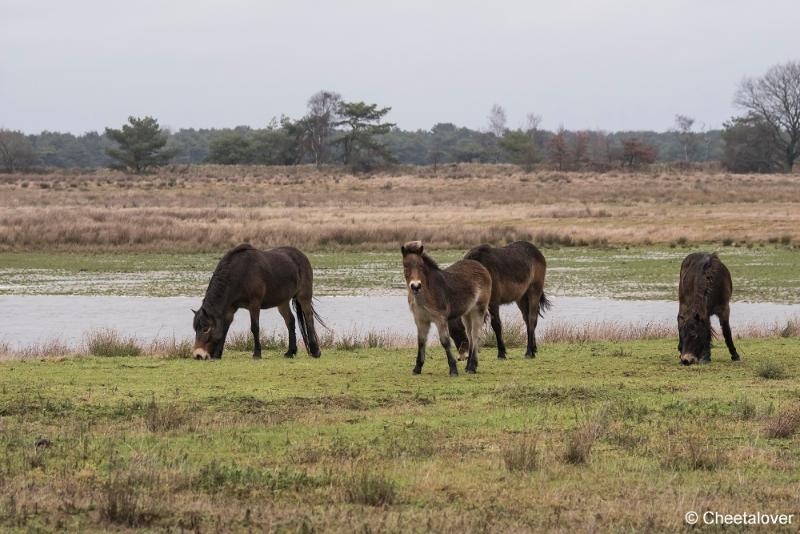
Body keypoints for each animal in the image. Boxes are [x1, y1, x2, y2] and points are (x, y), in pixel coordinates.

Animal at [192, 245, 320, 362]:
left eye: (205, 329)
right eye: (195, 328)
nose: (198, 355)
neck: (240, 273)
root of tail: (301, 255)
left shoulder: (254, 304)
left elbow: (255, 328)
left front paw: (257, 354)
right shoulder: (230, 309)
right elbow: (224, 329)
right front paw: (217, 355)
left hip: (304, 296)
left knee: (309, 319)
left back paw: (315, 351)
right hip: (282, 302)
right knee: (290, 321)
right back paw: (290, 352)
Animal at [400, 243, 494, 376]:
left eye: (421, 266)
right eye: (405, 266)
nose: (415, 286)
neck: (426, 294)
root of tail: (481, 267)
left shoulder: (440, 319)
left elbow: (445, 342)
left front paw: (453, 369)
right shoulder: (420, 320)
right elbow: (421, 341)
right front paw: (417, 368)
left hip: (478, 310)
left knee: (475, 335)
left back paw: (471, 367)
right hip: (467, 314)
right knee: (470, 335)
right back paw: (469, 367)